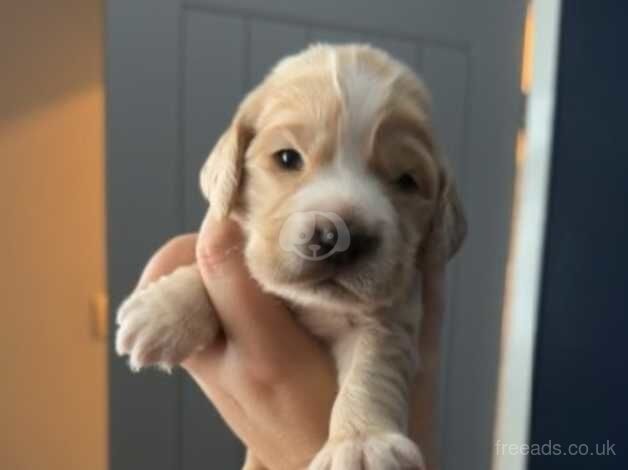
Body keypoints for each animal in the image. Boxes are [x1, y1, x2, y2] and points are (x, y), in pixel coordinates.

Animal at [115, 44, 466, 470]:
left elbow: (372, 369)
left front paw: (362, 443)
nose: (338, 237)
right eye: (287, 158)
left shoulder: (391, 316)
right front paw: (163, 311)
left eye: (406, 181)